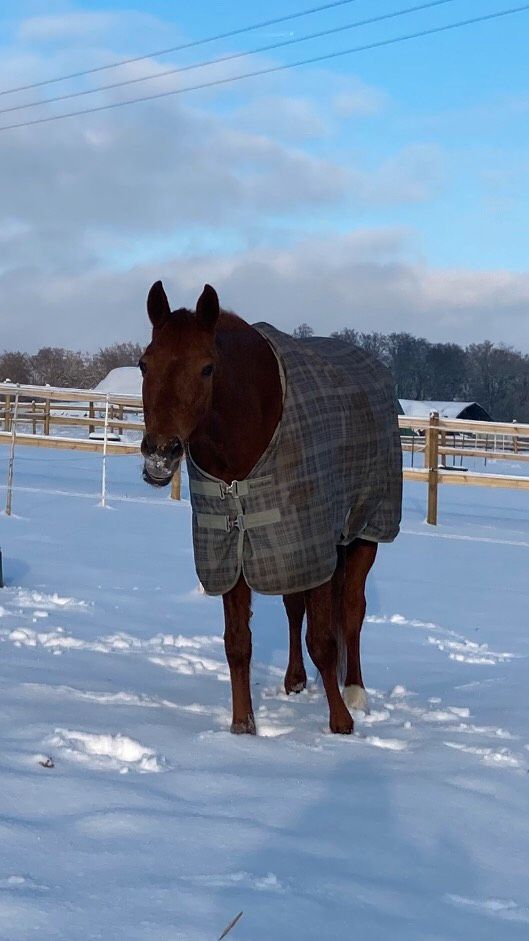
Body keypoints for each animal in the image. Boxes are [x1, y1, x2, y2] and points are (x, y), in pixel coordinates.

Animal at [140, 280, 400, 736]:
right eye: (143, 364)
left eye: (207, 368)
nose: (160, 453)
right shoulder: (233, 548)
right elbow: (238, 643)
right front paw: (243, 725)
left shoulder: (312, 542)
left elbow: (324, 641)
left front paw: (340, 722)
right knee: (295, 608)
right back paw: (294, 680)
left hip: (364, 532)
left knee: (352, 610)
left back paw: (354, 691)